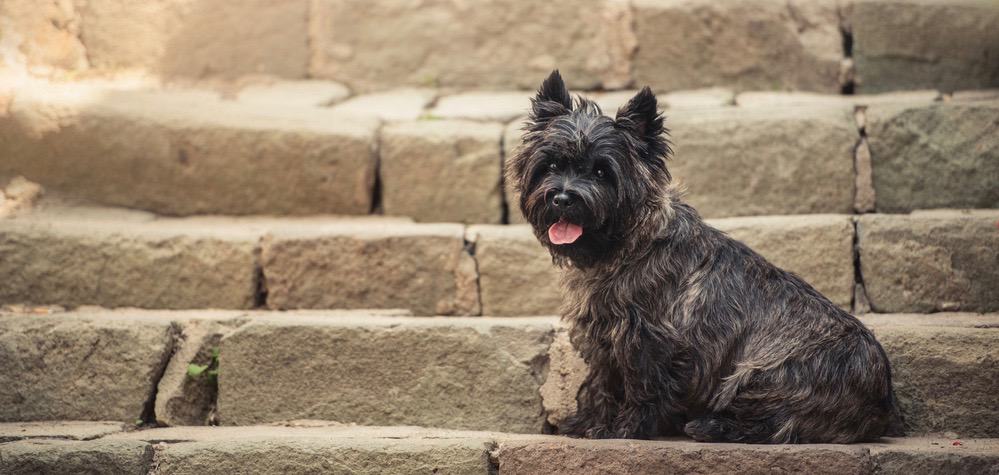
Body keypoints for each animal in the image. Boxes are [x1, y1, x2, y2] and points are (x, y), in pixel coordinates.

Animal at [508, 71, 900, 446]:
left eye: (603, 171)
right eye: (551, 165)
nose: (562, 198)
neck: (626, 245)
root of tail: (881, 402)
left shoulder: (646, 338)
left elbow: (641, 386)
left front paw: (624, 428)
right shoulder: (605, 336)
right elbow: (601, 382)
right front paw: (587, 422)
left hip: (763, 371)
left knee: (778, 424)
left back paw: (711, 426)